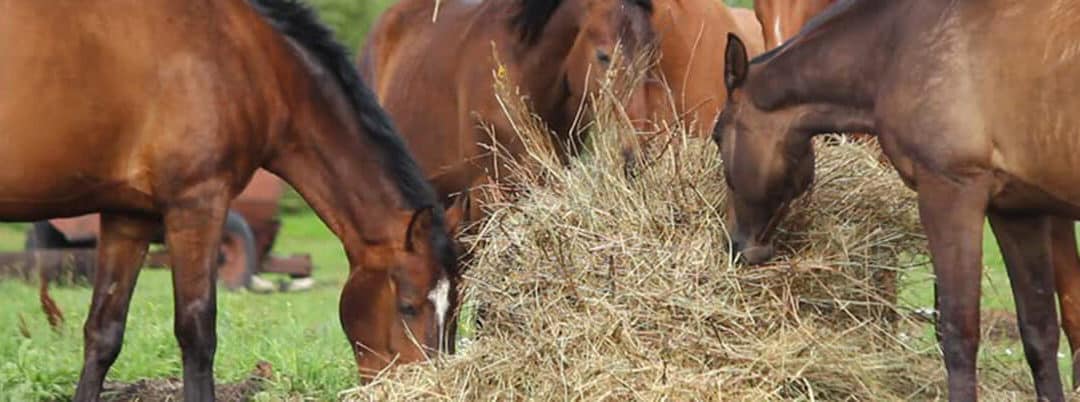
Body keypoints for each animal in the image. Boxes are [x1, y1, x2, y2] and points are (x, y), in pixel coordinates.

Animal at [0, 0, 460, 399]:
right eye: (408, 306)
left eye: (453, 307)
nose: (429, 388)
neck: (246, 54)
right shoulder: (197, 205)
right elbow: (197, 332)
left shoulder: (128, 215)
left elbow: (103, 333)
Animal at [712, 1, 1080, 399]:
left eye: (718, 136)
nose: (738, 245)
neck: (897, 42)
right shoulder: (1018, 213)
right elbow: (1040, 334)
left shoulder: (950, 194)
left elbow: (958, 333)